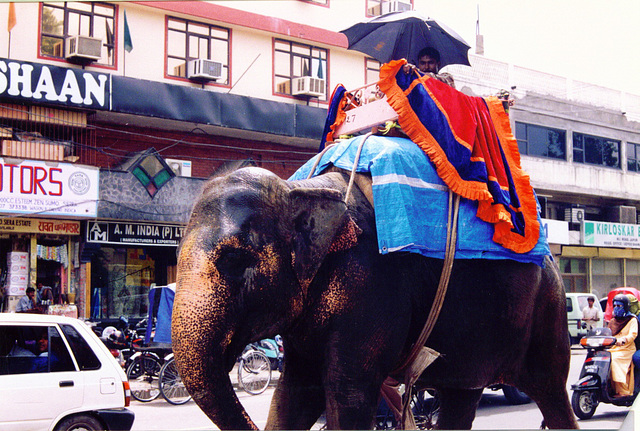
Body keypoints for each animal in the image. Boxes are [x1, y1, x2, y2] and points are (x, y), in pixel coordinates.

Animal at [172, 166, 576, 431]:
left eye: (234, 260)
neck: (299, 189)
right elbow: (293, 393)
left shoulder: (370, 286)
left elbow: (347, 395)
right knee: (462, 396)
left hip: (549, 309)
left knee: (551, 391)